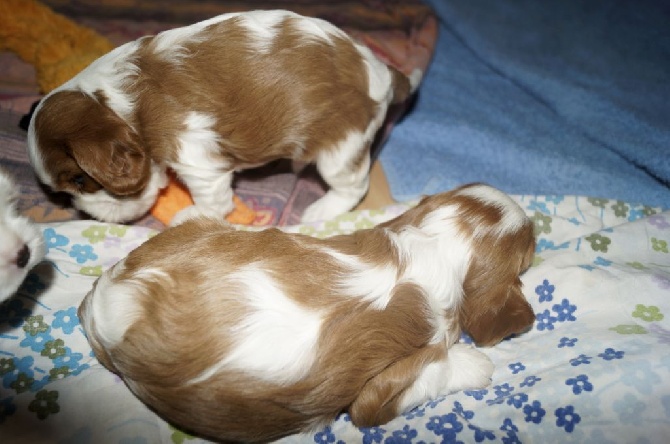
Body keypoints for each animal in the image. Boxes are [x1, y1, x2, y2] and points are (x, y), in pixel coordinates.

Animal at [30, 9, 426, 225]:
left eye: (81, 181)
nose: (86, 214)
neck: (118, 104)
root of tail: (380, 69)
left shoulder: (196, 157)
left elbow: (213, 201)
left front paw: (190, 216)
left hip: (341, 144)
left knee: (353, 186)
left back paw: (320, 210)